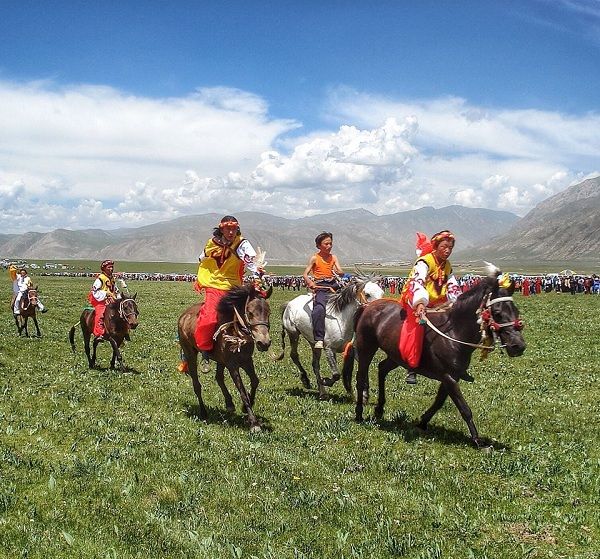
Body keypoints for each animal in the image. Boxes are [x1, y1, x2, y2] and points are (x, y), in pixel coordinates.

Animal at [178, 284, 272, 434]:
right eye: (250, 313)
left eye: (269, 313)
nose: (264, 343)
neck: (235, 332)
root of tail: (183, 316)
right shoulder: (232, 364)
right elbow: (242, 391)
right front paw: (254, 423)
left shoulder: (246, 360)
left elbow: (255, 381)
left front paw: (245, 407)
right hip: (190, 353)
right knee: (197, 385)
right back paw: (203, 412)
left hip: (220, 360)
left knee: (218, 377)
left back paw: (229, 403)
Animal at [342, 266, 524, 450]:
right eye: (498, 313)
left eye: (516, 311)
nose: (518, 346)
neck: (454, 332)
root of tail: (367, 307)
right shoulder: (449, 377)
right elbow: (464, 408)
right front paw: (477, 440)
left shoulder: (450, 377)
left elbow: (439, 402)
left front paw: (422, 422)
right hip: (367, 348)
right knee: (361, 378)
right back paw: (359, 413)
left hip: (396, 356)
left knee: (381, 369)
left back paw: (379, 408)